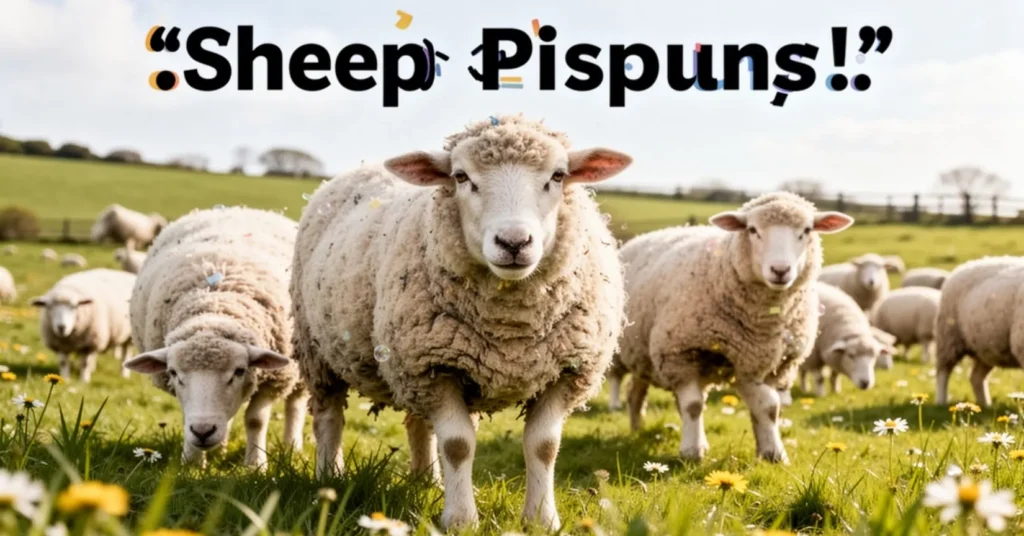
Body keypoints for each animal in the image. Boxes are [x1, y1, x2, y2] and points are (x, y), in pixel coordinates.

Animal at [123, 207, 308, 469]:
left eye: (239, 371)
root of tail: (239, 208)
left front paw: (256, 465)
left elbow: (256, 420)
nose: (203, 431)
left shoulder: (274, 380)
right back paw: (220, 448)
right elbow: (187, 417)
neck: (214, 308)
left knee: (296, 404)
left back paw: (293, 447)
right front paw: (191, 463)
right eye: (173, 373)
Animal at [291, 115, 631, 530]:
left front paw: (540, 519)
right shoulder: (435, 367)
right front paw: (461, 520)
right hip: (319, 352)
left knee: (418, 422)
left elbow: (544, 446)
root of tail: (362, 166)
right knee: (328, 417)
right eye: (460, 176)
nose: (513, 242)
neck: (510, 328)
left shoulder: (567, 371)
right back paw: (330, 478)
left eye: (558, 175)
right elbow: (457, 445)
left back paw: (426, 480)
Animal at [611, 192, 853, 465]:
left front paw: (772, 452)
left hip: (646, 356)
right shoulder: (679, 353)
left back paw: (638, 428)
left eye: (807, 230)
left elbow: (769, 408)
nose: (780, 270)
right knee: (637, 392)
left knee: (636, 392)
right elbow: (693, 406)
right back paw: (639, 428)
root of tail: (646, 235)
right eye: (753, 230)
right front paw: (692, 451)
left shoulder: (769, 364)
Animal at [934, 256, 1024, 407]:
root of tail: (968, 264)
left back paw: (985, 404)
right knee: (943, 372)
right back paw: (941, 401)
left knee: (976, 377)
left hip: (986, 349)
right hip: (949, 336)